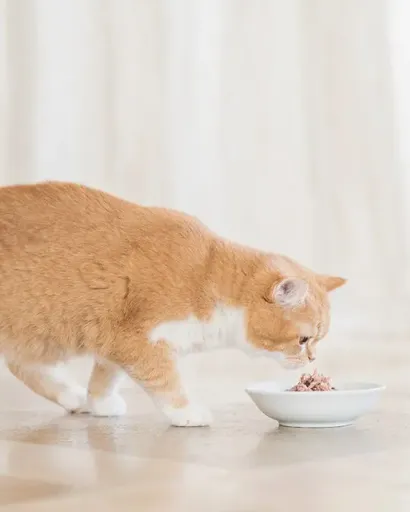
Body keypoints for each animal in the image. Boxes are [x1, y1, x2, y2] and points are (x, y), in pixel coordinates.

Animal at [0, 182, 346, 426]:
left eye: (318, 340)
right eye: (303, 339)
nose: (312, 359)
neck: (206, 278)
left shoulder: (113, 344)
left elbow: (104, 378)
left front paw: (99, 403)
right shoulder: (136, 340)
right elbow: (165, 381)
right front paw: (187, 412)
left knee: (24, 366)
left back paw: (73, 397)